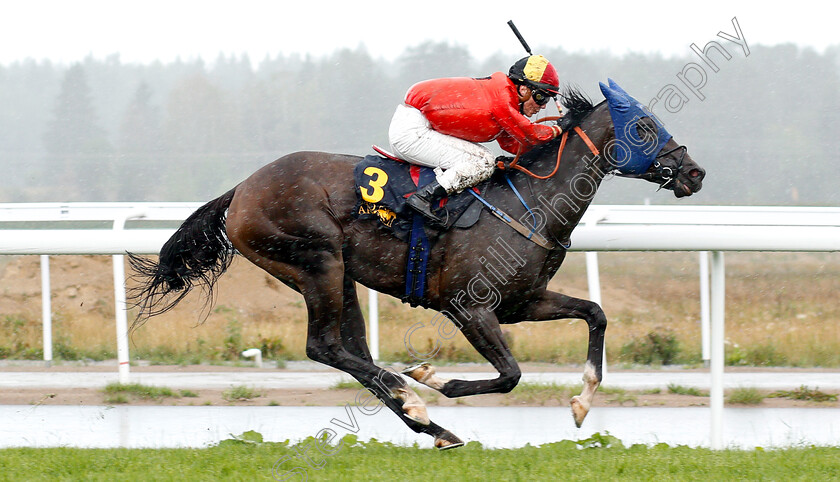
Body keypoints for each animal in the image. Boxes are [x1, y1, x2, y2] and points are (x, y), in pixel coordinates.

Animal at [130, 85, 704, 448]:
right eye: (644, 125)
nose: (694, 172)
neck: (530, 203)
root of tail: (240, 190)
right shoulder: (469, 306)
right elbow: (510, 375)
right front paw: (434, 378)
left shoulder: (522, 302)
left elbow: (595, 313)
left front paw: (583, 403)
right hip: (316, 260)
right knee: (324, 347)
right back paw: (416, 400)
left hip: (338, 276)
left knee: (351, 351)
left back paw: (430, 425)